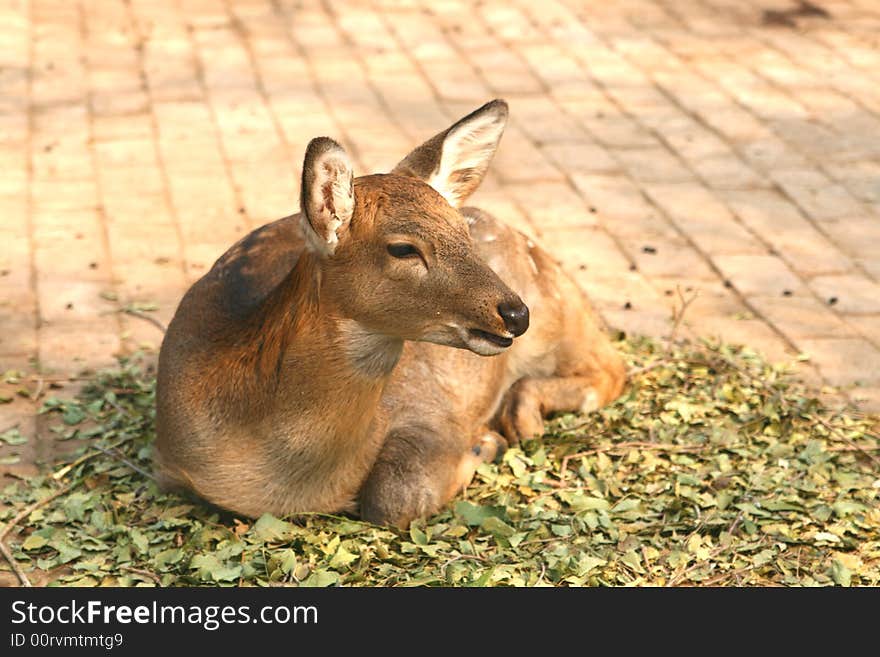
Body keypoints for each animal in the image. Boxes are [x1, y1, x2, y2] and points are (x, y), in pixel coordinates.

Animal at [158, 98, 624, 528]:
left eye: (463, 231)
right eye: (403, 248)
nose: (514, 314)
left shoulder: (427, 410)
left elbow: (395, 497)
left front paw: (483, 443)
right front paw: (485, 442)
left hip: (560, 314)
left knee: (612, 367)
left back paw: (523, 418)